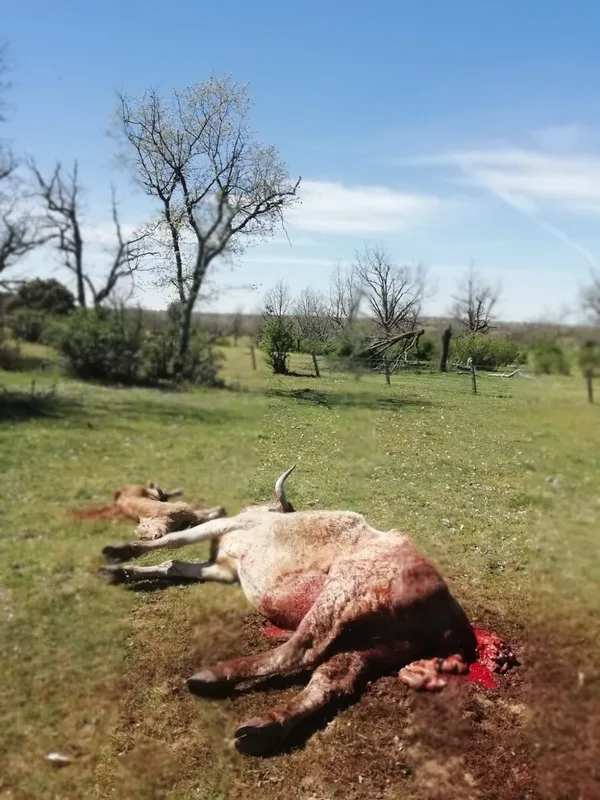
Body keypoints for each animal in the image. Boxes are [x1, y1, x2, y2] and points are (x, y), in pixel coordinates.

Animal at [98, 467, 518, 756]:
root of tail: (458, 623)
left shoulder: (231, 525)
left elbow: (172, 542)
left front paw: (117, 554)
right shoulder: (225, 569)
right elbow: (174, 564)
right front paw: (122, 571)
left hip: (345, 588)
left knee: (301, 649)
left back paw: (216, 677)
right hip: (380, 643)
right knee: (333, 678)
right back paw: (264, 728)